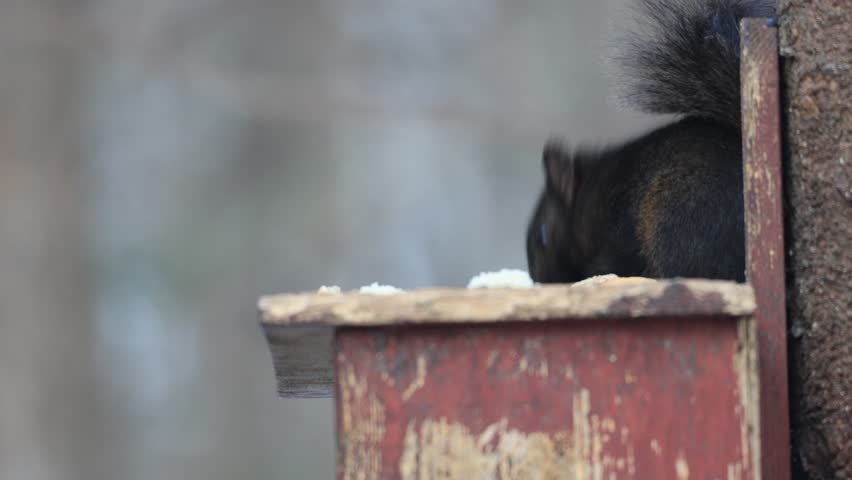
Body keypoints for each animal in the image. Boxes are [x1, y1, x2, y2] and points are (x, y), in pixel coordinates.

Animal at [525, 0, 775, 284]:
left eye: (543, 236)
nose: (540, 280)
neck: (590, 195)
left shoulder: (617, 225)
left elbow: (615, 259)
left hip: (680, 219)